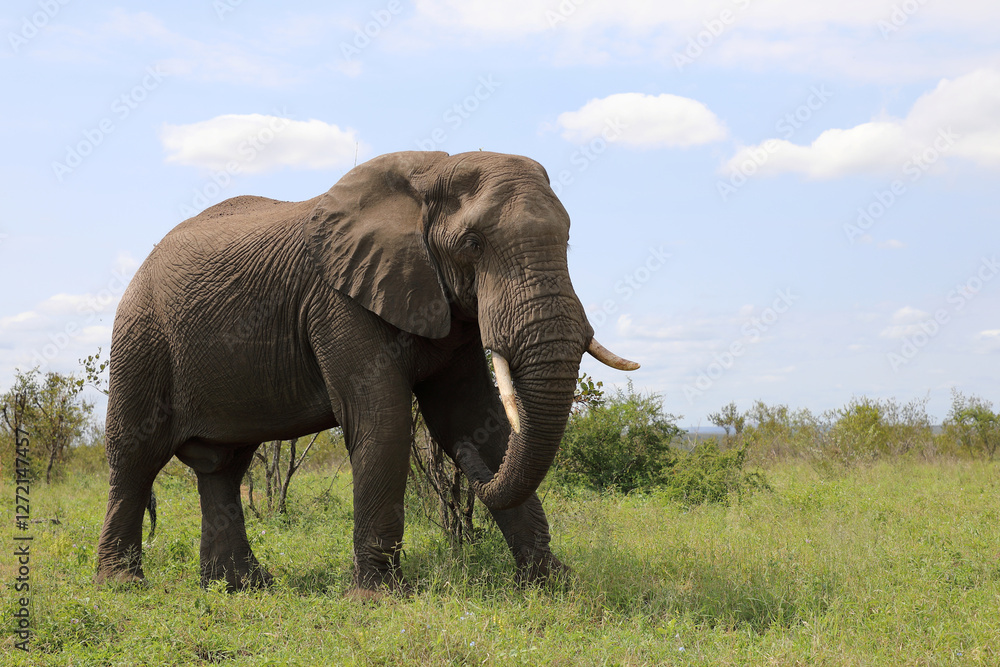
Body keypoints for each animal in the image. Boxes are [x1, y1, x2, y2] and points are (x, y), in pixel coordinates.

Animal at [96, 150, 638, 595]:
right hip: (141, 336)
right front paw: (378, 597)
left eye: (567, 240)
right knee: (135, 455)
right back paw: (123, 585)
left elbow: (474, 420)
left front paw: (553, 583)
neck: (430, 176)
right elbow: (385, 419)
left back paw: (240, 587)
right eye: (472, 244)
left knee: (223, 465)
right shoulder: (338, 301)